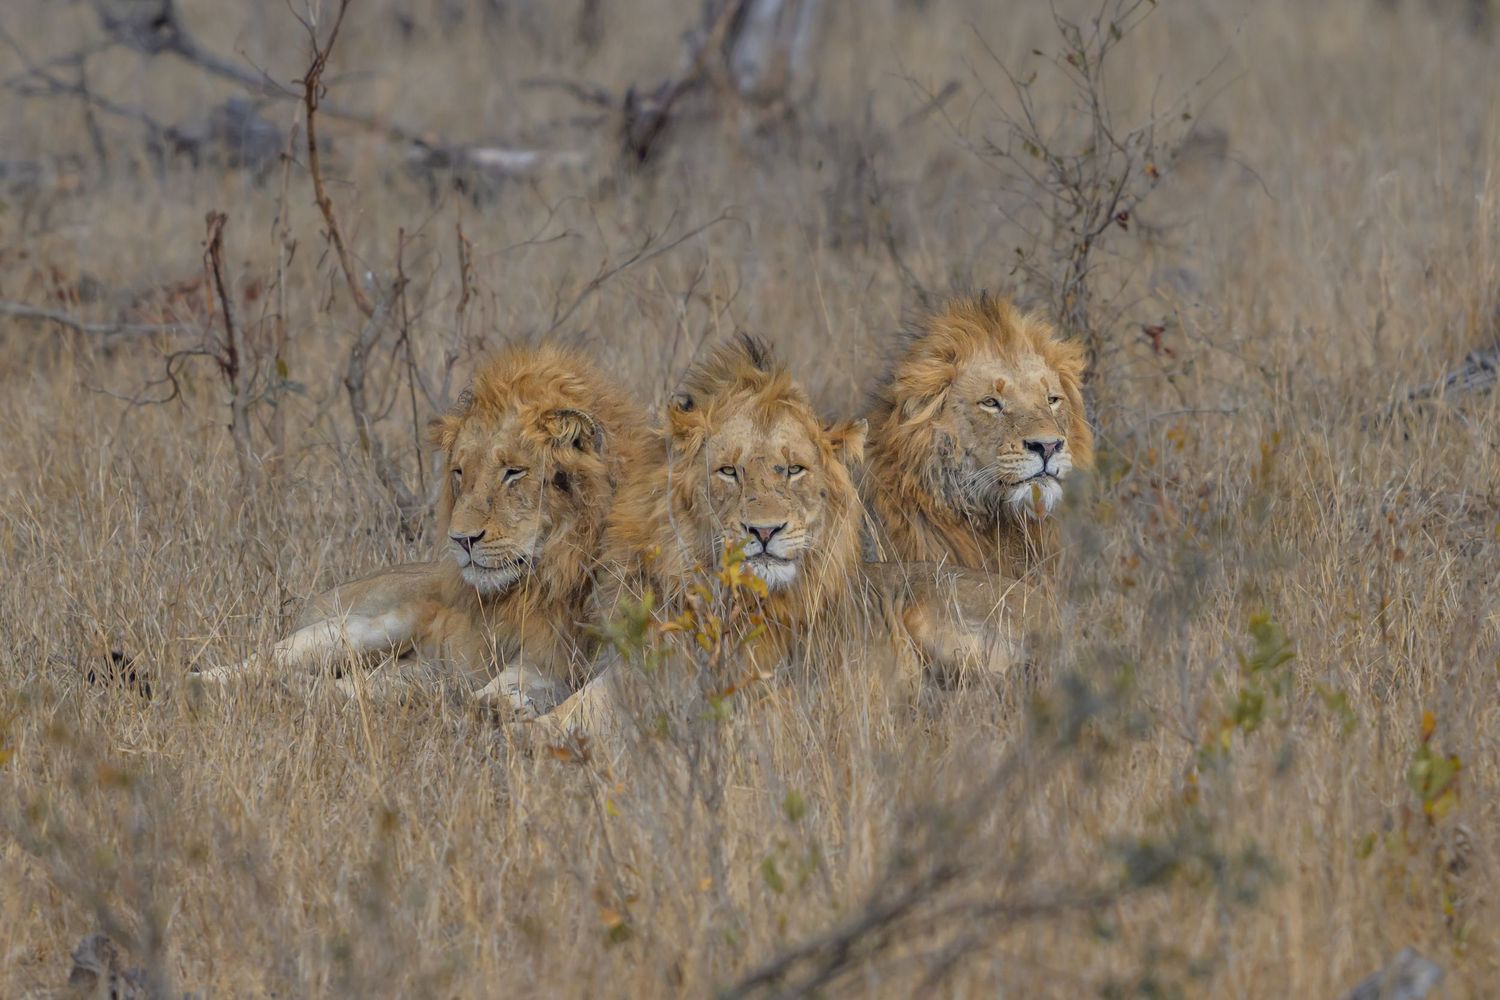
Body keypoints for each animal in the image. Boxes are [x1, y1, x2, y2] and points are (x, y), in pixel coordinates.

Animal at [195, 344, 651, 716]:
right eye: (460, 472)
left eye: (513, 472)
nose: (462, 540)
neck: (565, 566)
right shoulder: (537, 651)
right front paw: (493, 704)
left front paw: (504, 706)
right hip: (359, 627)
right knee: (259, 662)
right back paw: (195, 684)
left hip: (403, 672)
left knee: (350, 687)